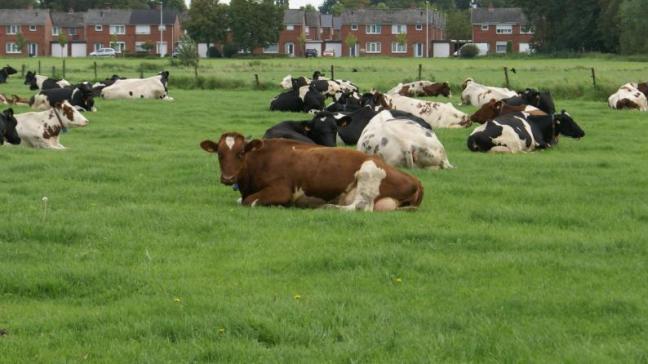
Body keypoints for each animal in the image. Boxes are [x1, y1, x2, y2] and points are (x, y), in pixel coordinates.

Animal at [202, 133, 426, 212]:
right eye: (219, 154)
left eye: (241, 153)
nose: (228, 178)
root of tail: (416, 179)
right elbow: (240, 200)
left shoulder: (282, 191)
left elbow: (250, 201)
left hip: (368, 172)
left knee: (360, 207)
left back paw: (327, 207)